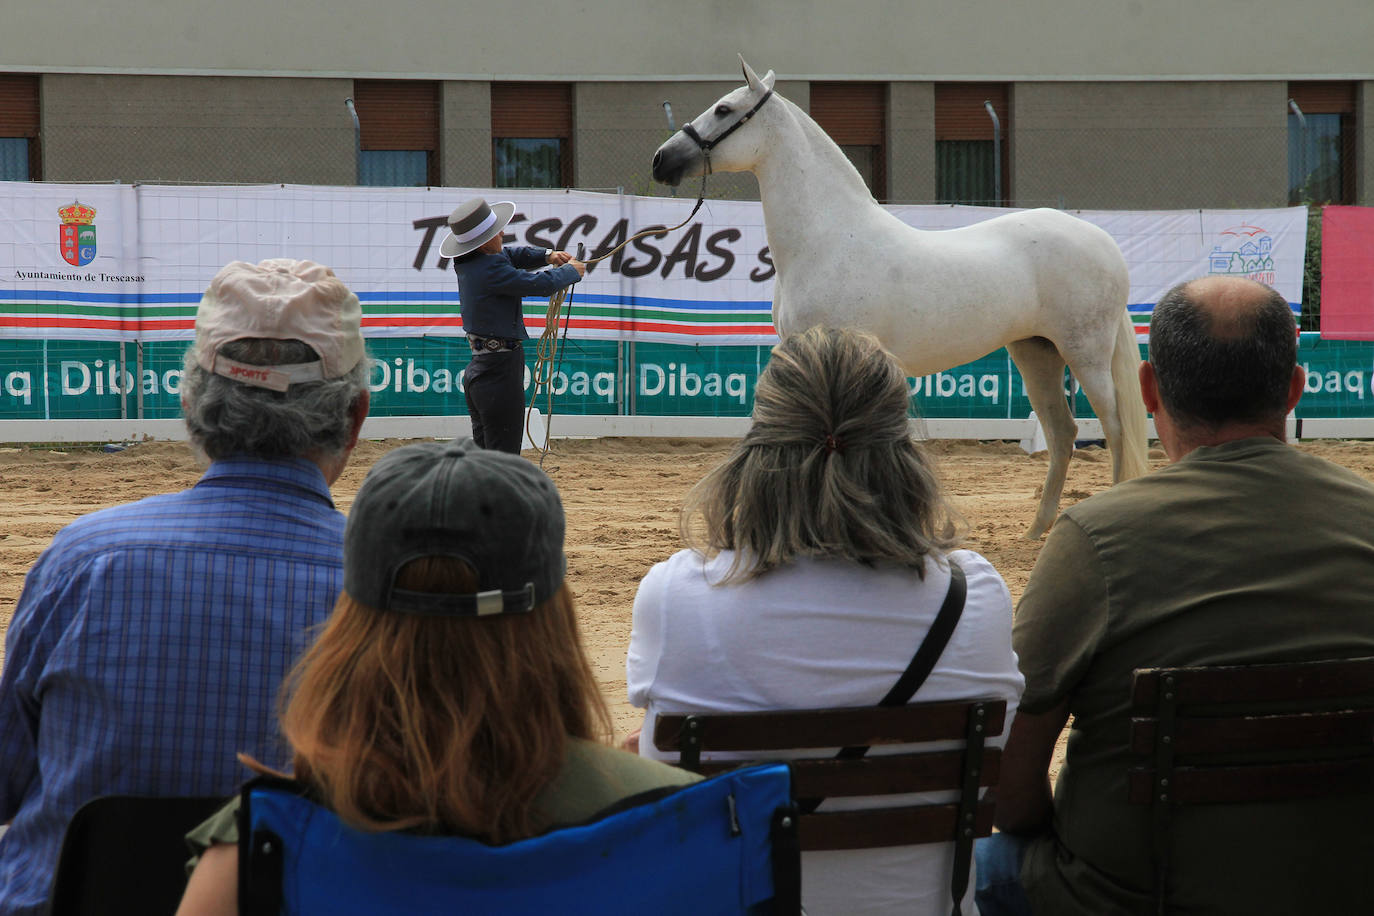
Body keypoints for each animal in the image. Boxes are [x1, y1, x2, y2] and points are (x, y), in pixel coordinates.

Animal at [651, 55, 1148, 538]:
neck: (828, 238)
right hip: (1035, 352)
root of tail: (1101, 240)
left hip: (1085, 352)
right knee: (1063, 431)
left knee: (1115, 427)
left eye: (723, 109)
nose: (661, 160)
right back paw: (1036, 530)